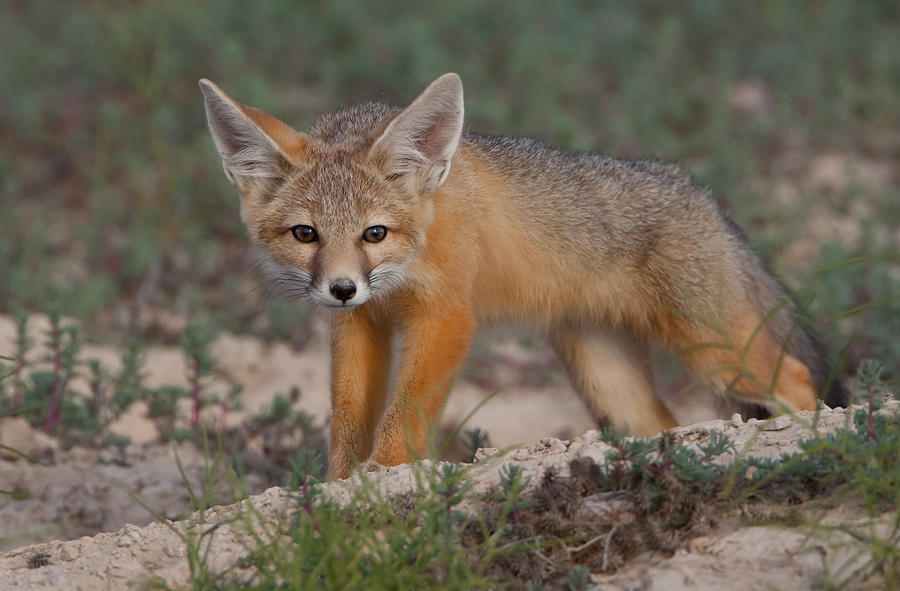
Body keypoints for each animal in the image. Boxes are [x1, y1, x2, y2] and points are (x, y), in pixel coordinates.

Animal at [200, 73, 848, 480]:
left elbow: (405, 412)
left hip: (714, 351)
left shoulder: (447, 319)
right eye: (305, 234)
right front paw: (338, 488)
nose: (341, 288)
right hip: (611, 383)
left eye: (374, 234)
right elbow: (348, 417)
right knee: (666, 424)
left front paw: (382, 476)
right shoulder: (359, 327)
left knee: (795, 378)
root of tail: (701, 195)